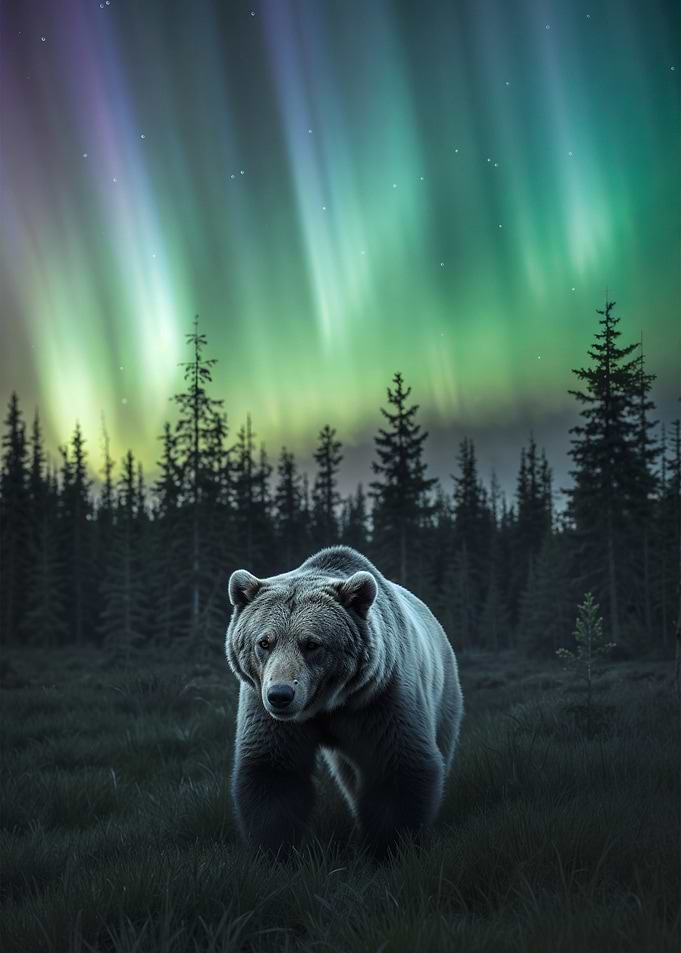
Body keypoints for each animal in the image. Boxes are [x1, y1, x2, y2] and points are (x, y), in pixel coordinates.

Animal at [225, 545, 464, 859]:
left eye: (311, 643)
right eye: (264, 642)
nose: (280, 695)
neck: (326, 705)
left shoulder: (380, 699)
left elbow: (399, 767)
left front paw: (388, 846)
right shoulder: (266, 712)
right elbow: (272, 772)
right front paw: (274, 850)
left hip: (443, 694)